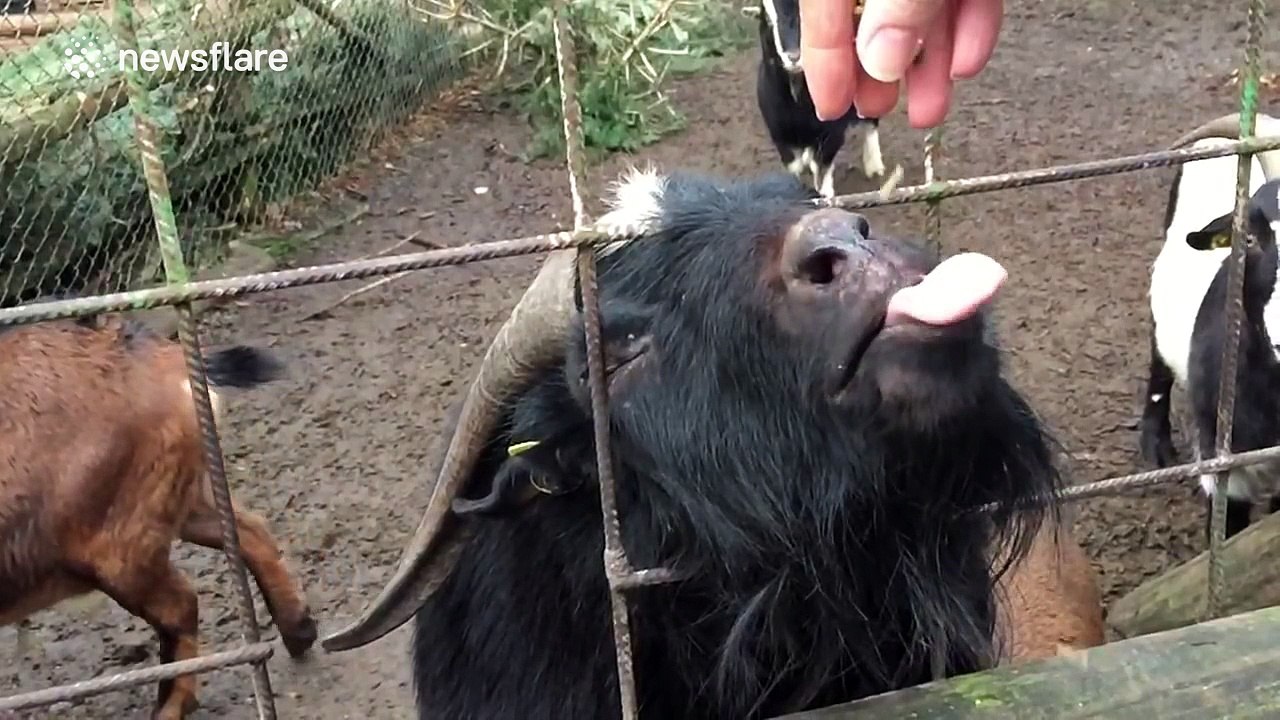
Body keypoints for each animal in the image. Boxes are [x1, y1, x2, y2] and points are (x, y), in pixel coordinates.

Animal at [0, 315, 317, 720]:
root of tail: (166, 361)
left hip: (119, 544)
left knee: (180, 604)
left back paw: (167, 708)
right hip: (176, 496)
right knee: (251, 530)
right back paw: (300, 633)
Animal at [756, 0, 885, 198]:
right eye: (768, 20)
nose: (794, 56)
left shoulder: (832, 131)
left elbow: (823, 166)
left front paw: (826, 195)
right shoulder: (780, 134)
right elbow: (795, 166)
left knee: (871, 123)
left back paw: (874, 166)